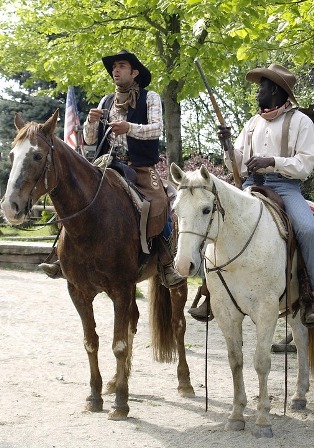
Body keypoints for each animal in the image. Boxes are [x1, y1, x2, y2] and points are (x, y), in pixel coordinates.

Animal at [1, 111, 194, 420]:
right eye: (11, 154)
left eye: (38, 156)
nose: (11, 207)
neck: (91, 219)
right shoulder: (79, 292)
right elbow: (92, 342)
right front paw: (96, 396)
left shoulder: (120, 289)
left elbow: (118, 344)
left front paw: (121, 404)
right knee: (133, 322)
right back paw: (117, 381)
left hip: (176, 282)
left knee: (178, 325)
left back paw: (184, 382)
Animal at [172, 164, 314, 438]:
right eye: (175, 209)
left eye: (206, 209)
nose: (184, 265)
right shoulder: (226, 313)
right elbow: (236, 360)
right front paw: (237, 415)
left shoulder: (266, 311)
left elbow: (261, 362)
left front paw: (263, 420)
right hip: (293, 306)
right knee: (301, 337)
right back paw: (299, 395)